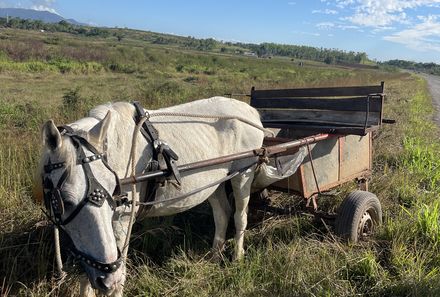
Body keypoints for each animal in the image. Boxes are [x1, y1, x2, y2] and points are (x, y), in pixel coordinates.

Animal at [35, 97, 268, 296]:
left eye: (113, 190)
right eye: (65, 201)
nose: (107, 280)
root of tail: (250, 111)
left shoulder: (122, 221)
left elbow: (120, 268)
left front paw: (115, 283)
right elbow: (87, 270)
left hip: (243, 173)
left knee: (239, 217)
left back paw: (237, 257)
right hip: (215, 180)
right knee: (222, 214)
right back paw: (214, 256)